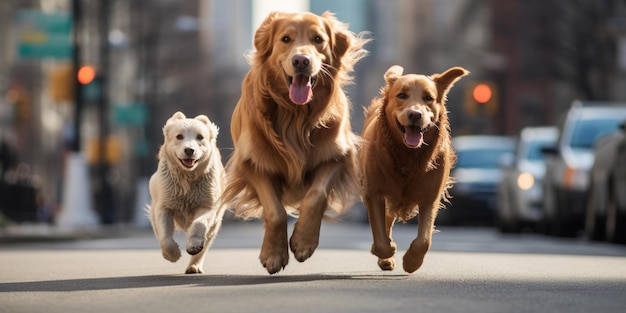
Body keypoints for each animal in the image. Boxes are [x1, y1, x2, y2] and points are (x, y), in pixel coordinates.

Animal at [146, 111, 224, 272]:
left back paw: (194, 266)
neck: (187, 179)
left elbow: (199, 223)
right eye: (179, 136)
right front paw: (173, 254)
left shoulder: (207, 205)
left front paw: (194, 245)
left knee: (206, 242)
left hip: (215, 225)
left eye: (200, 137)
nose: (189, 150)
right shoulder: (164, 206)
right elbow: (165, 237)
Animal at [358, 64, 466, 272]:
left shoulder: (430, 197)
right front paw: (387, 250)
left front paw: (411, 261)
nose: (415, 115)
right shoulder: (374, 193)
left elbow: (424, 240)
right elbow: (381, 239)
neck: (408, 155)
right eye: (402, 95)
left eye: (429, 98)